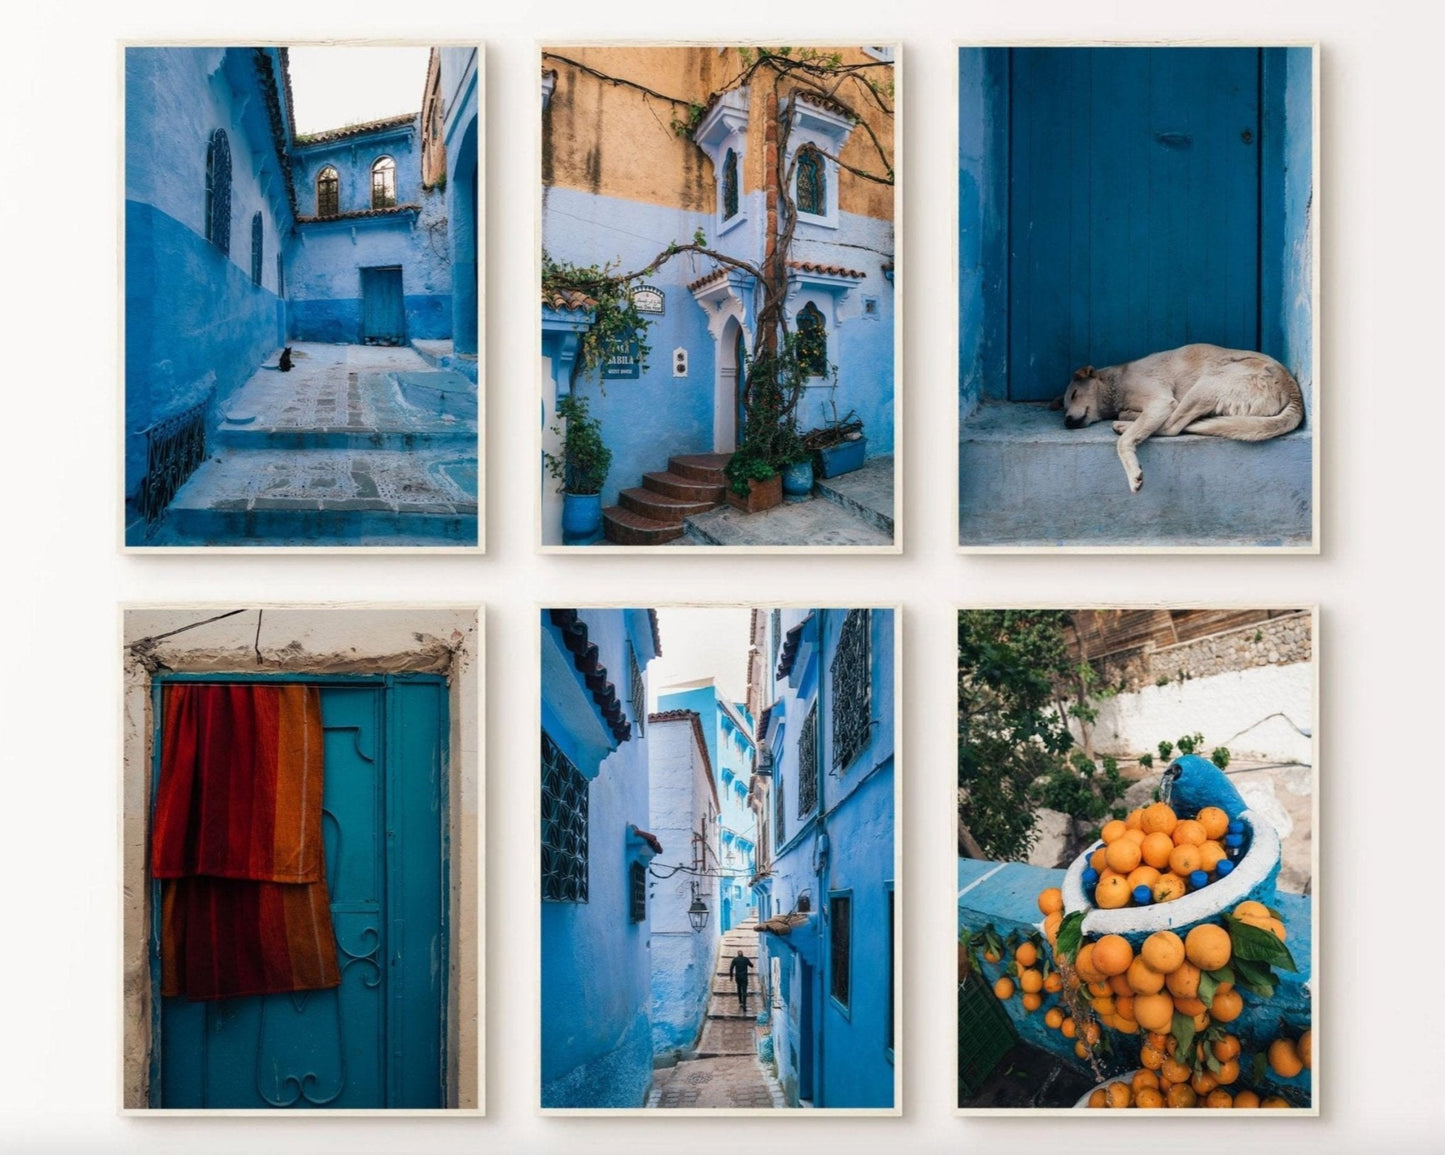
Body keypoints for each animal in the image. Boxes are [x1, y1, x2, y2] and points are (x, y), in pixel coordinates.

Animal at [1057, 341, 1306, 491]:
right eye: (1065, 405)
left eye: (1075, 394)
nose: (1067, 421)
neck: (1115, 383)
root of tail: (1293, 389)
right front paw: (1129, 414)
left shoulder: (1161, 402)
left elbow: (1125, 442)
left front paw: (1133, 472)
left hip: (1207, 383)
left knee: (1173, 427)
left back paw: (1122, 426)